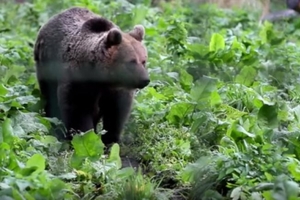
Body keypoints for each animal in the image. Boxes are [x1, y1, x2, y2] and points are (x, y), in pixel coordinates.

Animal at [33, 7, 150, 145]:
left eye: (143, 61)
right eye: (131, 62)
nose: (145, 80)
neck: (103, 79)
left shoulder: (116, 91)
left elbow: (116, 113)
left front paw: (110, 139)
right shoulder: (79, 82)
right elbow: (78, 110)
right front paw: (84, 136)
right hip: (46, 63)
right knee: (49, 96)